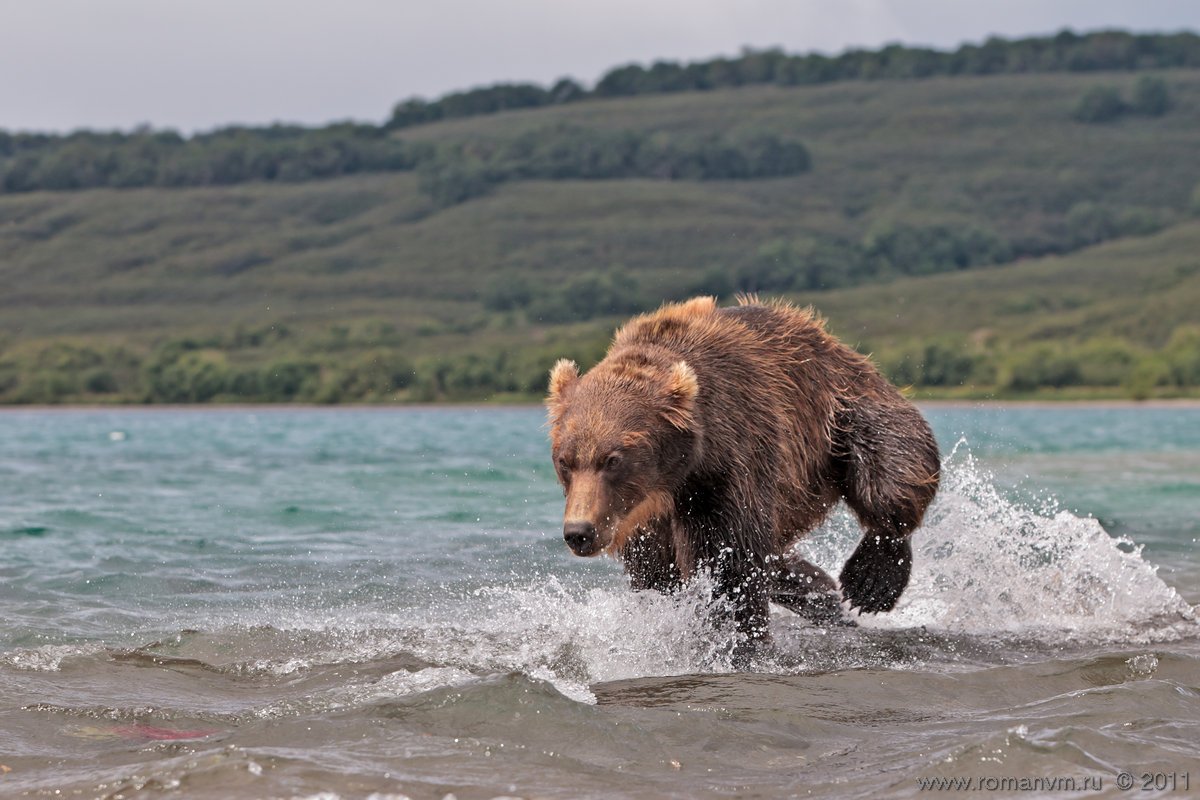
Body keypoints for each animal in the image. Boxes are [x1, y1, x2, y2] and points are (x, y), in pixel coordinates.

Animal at [549, 297, 940, 647]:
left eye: (613, 460)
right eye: (565, 461)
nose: (579, 532)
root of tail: (822, 334)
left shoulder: (730, 461)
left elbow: (729, 562)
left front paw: (738, 638)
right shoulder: (643, 521)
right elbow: (659, 575)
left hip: (839, 404)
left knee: (891, 456)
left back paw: (871, 579)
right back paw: (822, 592)